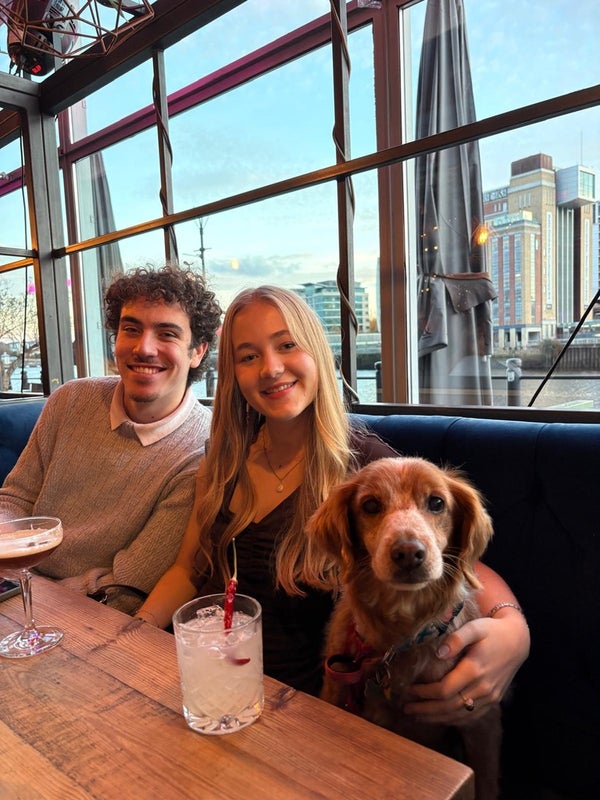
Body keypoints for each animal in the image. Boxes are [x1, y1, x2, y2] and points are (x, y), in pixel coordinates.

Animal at [303, 456, 502, 800]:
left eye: (436, 502)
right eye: (370, 505)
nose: (409, 552)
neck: (400, 638)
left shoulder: (481, 721)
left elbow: (488, 782)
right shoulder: (335, 691)